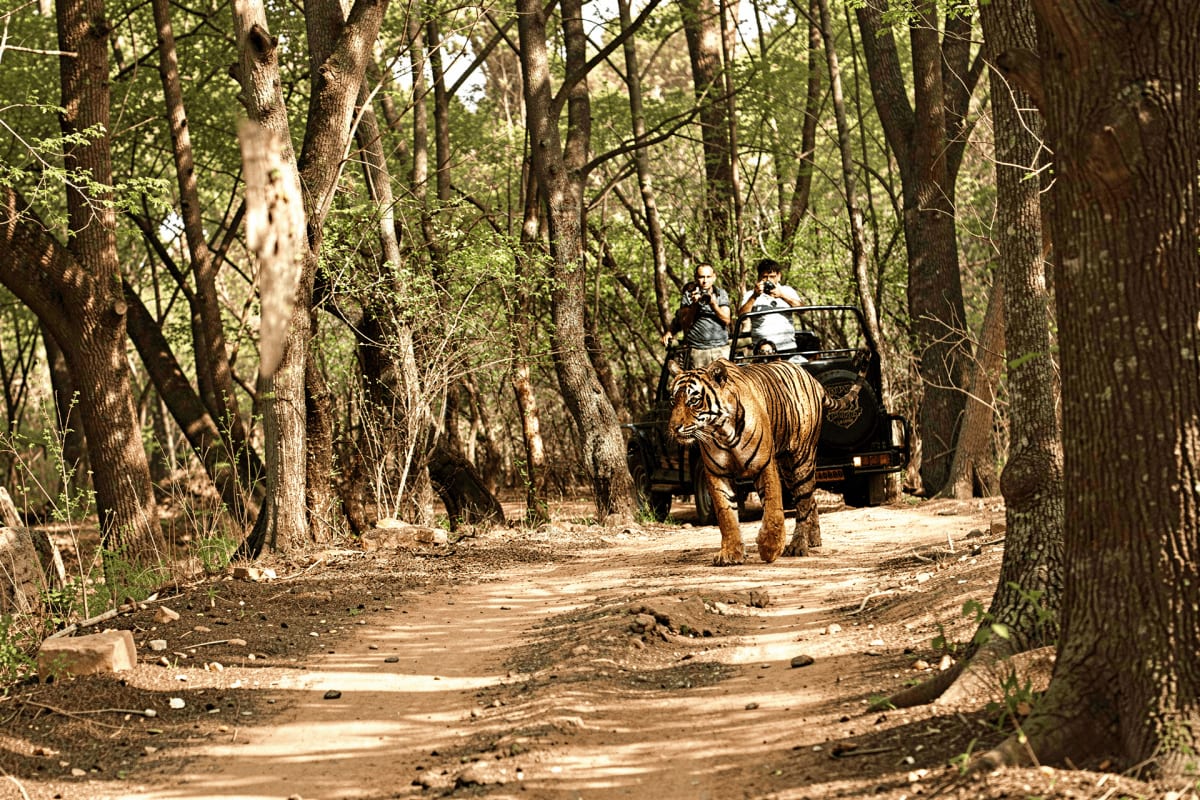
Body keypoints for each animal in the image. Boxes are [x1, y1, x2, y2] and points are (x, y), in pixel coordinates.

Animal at [667, 357, 859, 566]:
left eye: (693, 401)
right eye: (673, 401)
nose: (674, 428)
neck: (721, 431)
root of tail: (811, 377)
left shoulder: (764, 465)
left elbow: (773, 508)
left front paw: (770, 548)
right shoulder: (717, 473)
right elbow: (726, 515)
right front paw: (731, 553)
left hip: (801, 459)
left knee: (803, 503)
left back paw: (798, 546)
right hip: (787, 469)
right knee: (810, 499)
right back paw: (814, 539)